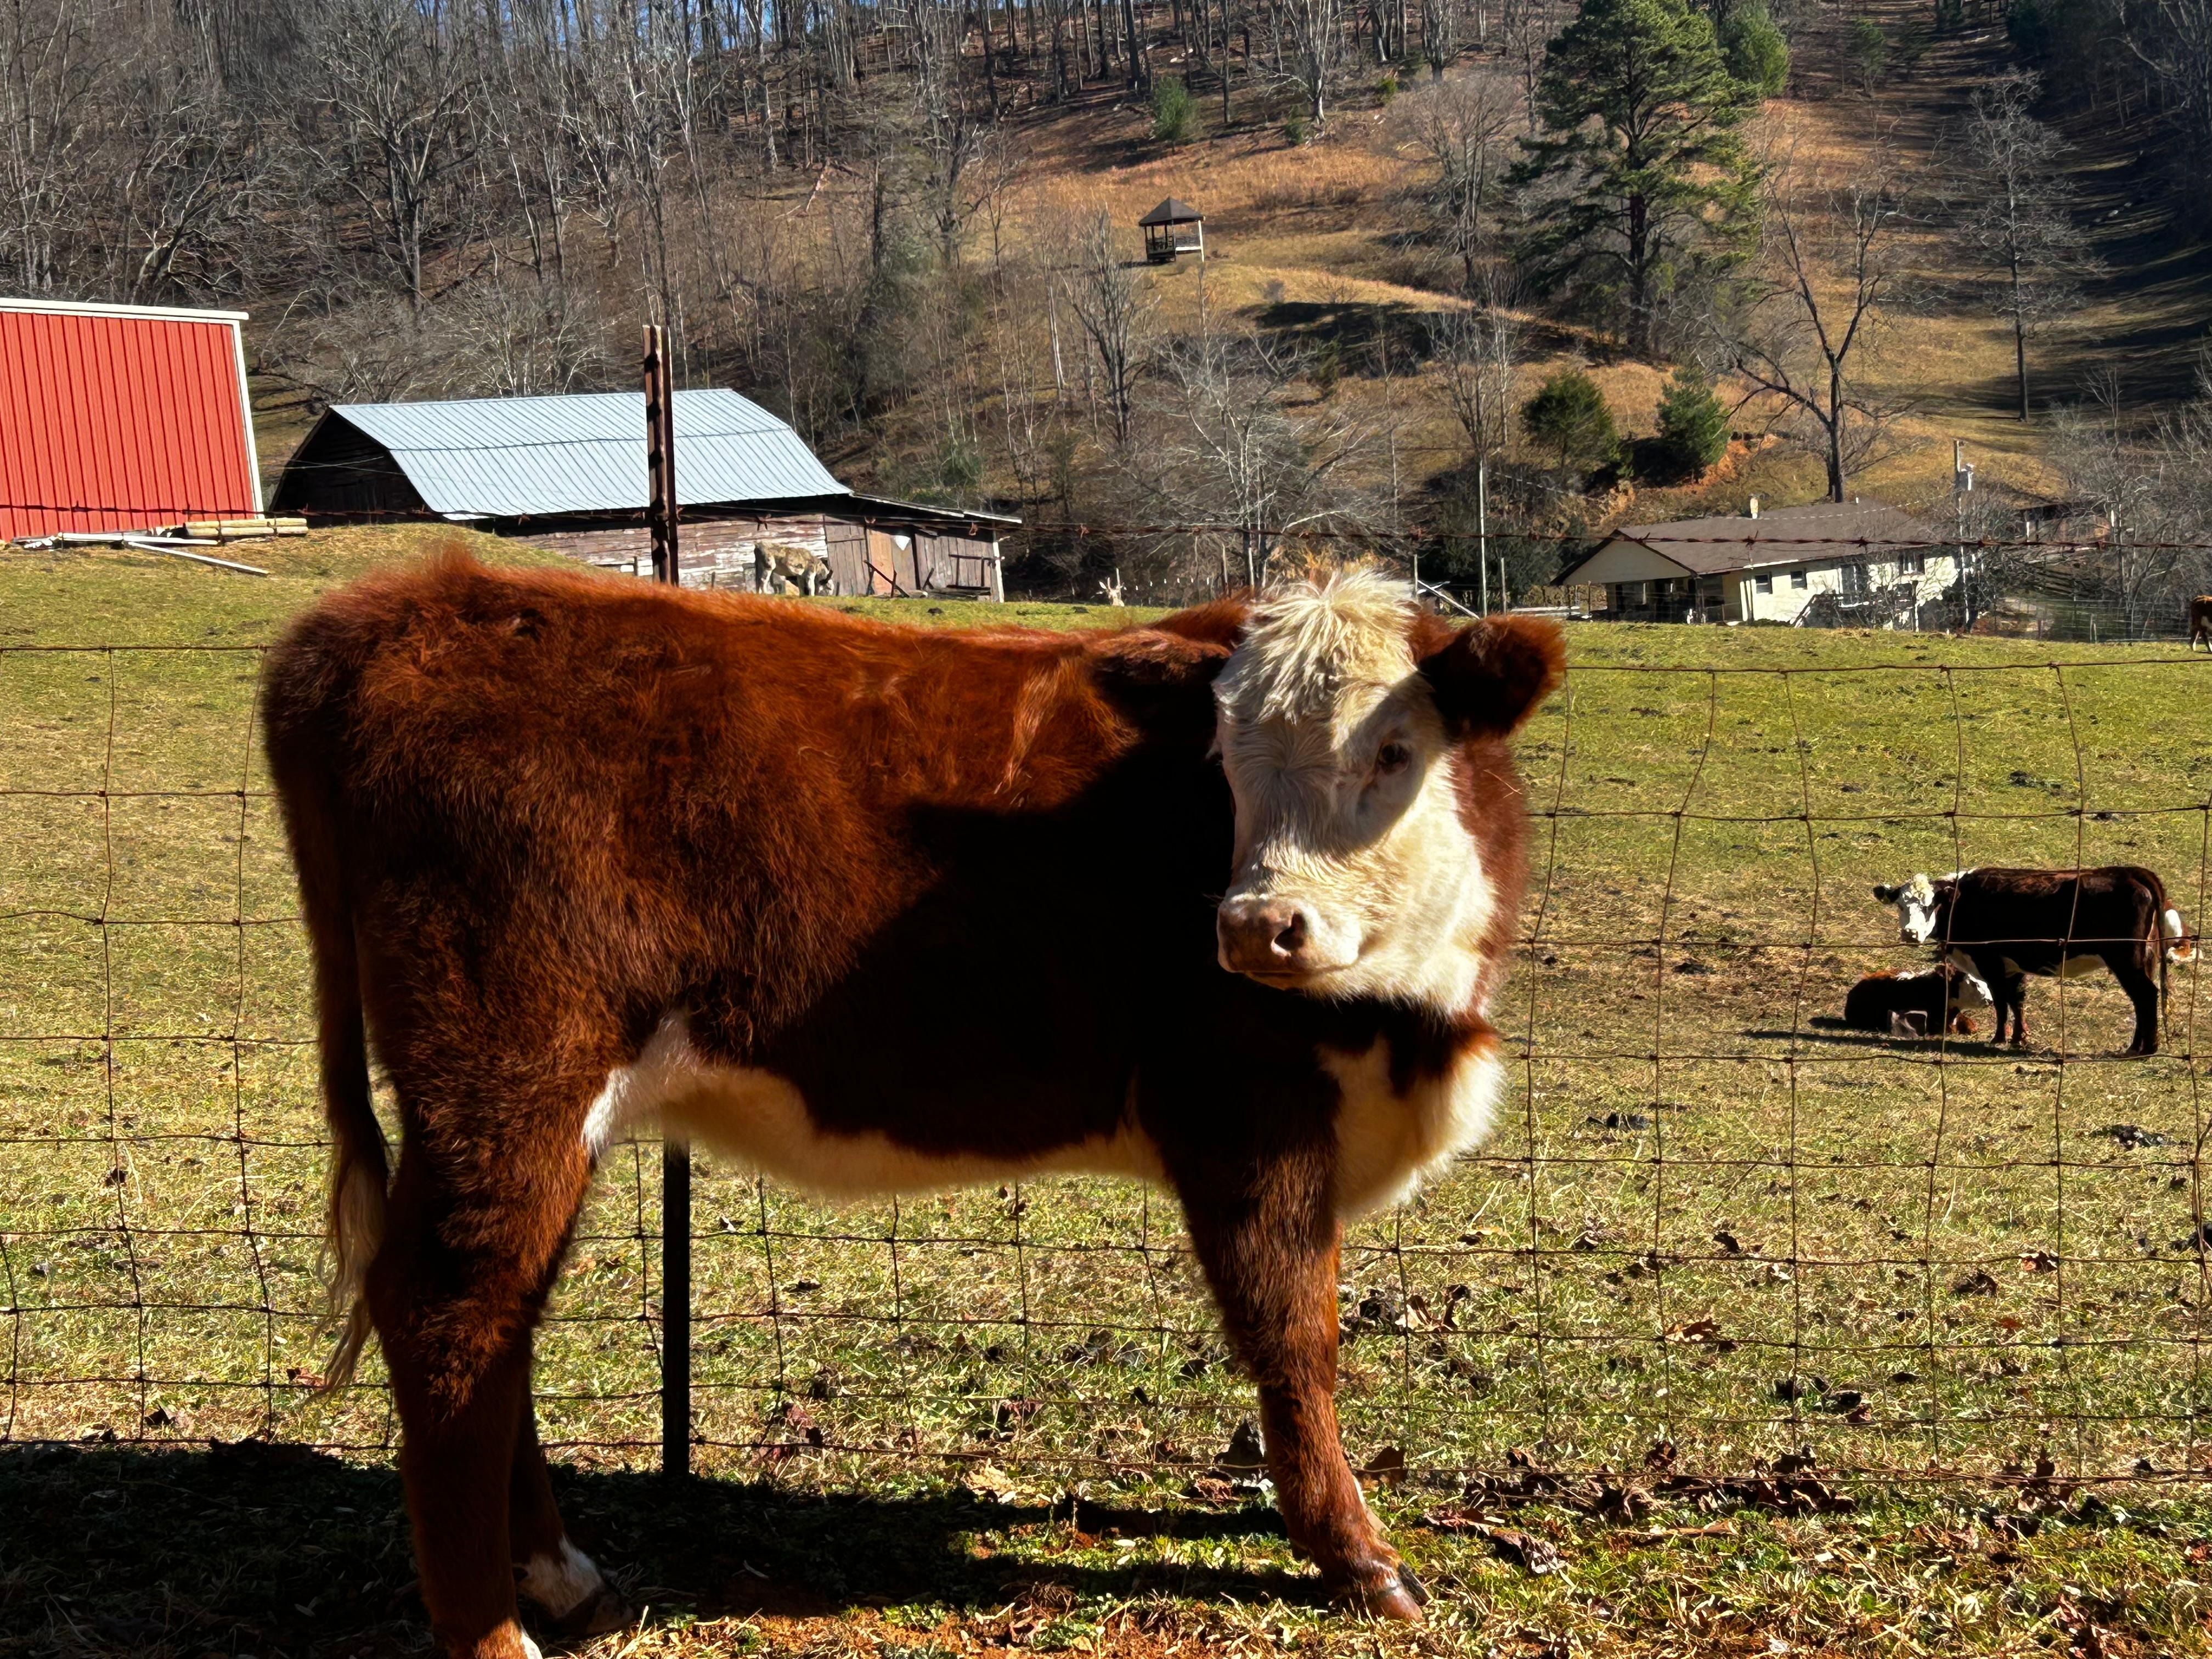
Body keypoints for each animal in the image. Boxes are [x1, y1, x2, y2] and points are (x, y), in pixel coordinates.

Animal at [260, 556, 1564, 1659]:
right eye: (1225, 765)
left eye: (1393, 748)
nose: (1255, 927)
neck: (1418, 1024)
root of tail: (417, 596)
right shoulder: (1244, 1113)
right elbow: (1296, 1336)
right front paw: (1356, 1557)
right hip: (509, 1075)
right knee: (449, 1310)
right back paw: (492, 1629)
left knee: (500, 1313)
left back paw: (564, 1576)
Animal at [1871, 867, 2195, 1055]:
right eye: (1901, 904)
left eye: (1930, 905)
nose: (1910, 933)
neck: (1961, 901)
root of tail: (2130, 873)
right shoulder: (2012, 965)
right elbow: (2018, 1000)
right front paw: (2019, 1037)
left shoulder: (1990, 961)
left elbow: (2002, 1002)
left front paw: (1999, 1038)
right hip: (2142, 959)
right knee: (2142, 1000)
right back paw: (2136, 1046)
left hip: (2125, 959)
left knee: (2146, 995)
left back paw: (2147, 1048)